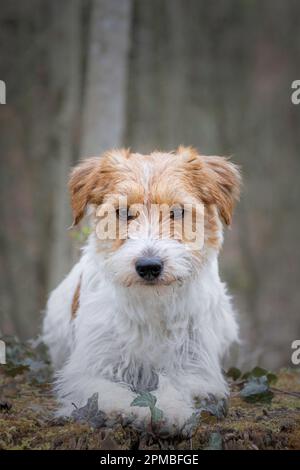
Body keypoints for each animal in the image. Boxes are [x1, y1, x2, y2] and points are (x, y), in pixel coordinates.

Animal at [43, 146, 241, 430]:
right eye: (123, 212)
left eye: (177, 212)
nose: (149, 266)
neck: (152, 304)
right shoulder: (90, 368)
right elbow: (107, 391)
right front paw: (135, 410)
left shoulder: (196, 369)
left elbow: (176, 385)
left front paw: (169, 410)